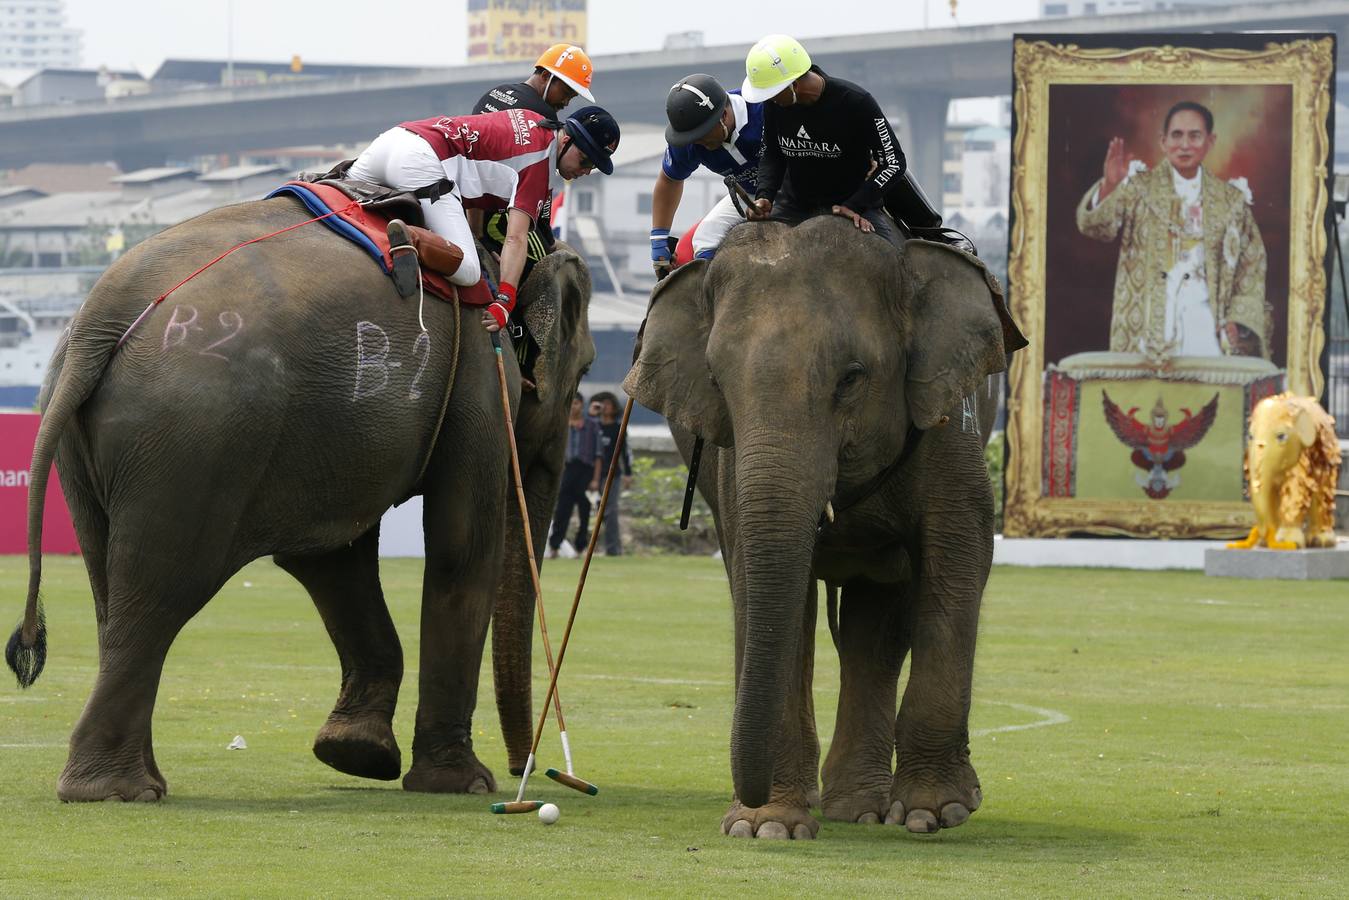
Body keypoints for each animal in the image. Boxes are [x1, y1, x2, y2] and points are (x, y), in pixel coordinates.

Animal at [4, 195, 595, 802]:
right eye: (587, 369)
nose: (529, 770)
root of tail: (98, 324)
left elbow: (332, 560)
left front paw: (356, 754)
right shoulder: (479, 370)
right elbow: (461, 551)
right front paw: (461, 784)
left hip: (92, 448)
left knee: (112, 591)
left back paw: (138, 784)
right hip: (194, 441)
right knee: (161, 592)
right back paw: (117, 791)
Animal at [624, 216, 1022, 839]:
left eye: (852, 377)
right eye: (715, 378)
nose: (748, 795)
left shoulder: (948, 427)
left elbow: (959, 552)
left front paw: (934, 813)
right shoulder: (731, 466)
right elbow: (763, 586)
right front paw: (765, 827)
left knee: (878, 625)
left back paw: (862, 810)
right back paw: (850, 807)